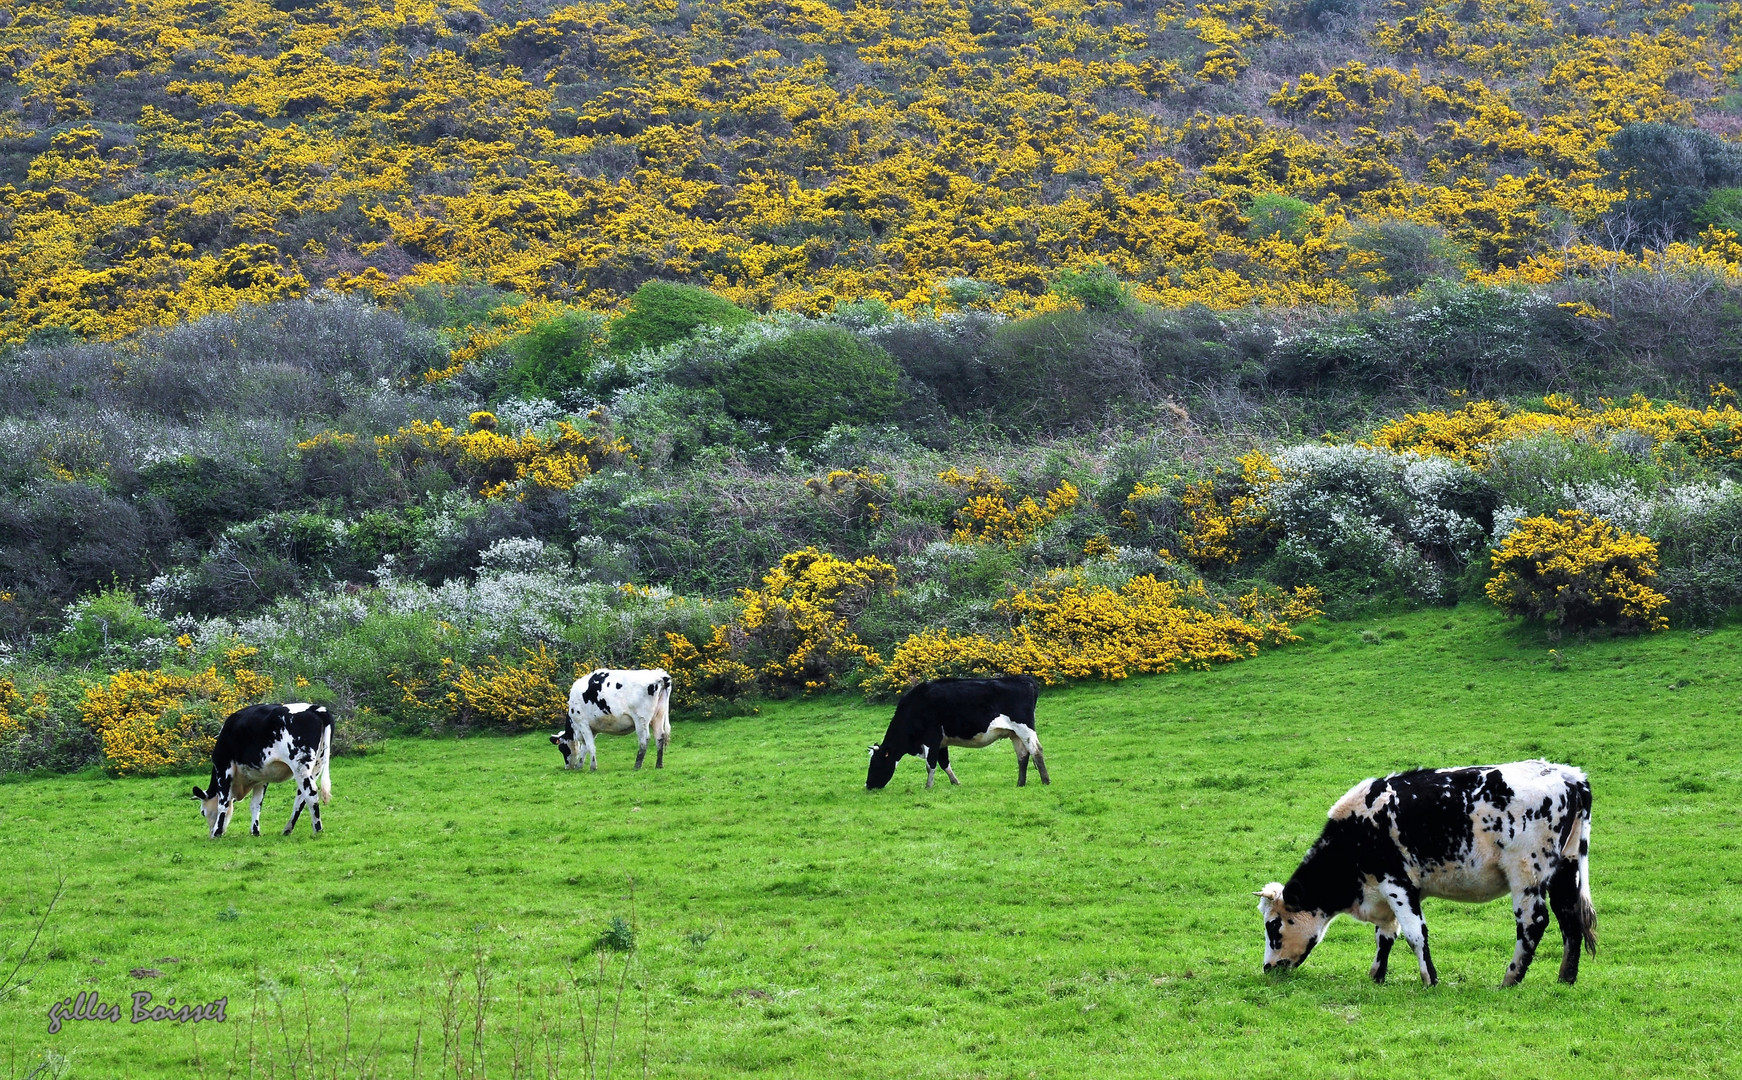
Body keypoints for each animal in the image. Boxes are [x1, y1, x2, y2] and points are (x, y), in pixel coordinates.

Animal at [194, 703, 336, 839]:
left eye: (202, 812)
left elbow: (223, 803)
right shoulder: (261, 777)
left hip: (300, 765)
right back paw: (287, 829)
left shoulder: (224, 768)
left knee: (310, 794)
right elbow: (256, 804)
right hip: (317, 765)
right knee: (301, 798)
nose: (210, 833)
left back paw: (318, 830)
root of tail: (316, 708)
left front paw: (217, 833)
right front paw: (255, 831)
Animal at [860, 675, 1038, 794]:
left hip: (1023, 728)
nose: (868, 785)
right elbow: (944, 763)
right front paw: (955, 782)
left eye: (875, 763)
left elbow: (930, 764)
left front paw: (928, 786)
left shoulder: (932, 739)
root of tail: (1024, 679)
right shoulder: (941, 743)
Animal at [1254, 759, 1595, 989]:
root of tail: (1567, 775)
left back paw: (1510, 979)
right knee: (1569, 917)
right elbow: (1385, 935)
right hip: (1566, 866)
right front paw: (1376, 976)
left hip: (1526, 873)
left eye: (1273, 927)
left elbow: (1414, 933)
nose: (1267, 968)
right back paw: (1566, 978)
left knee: (1533, 922)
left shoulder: (1397, 884)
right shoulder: (1383, 894)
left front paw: (1430, 980)